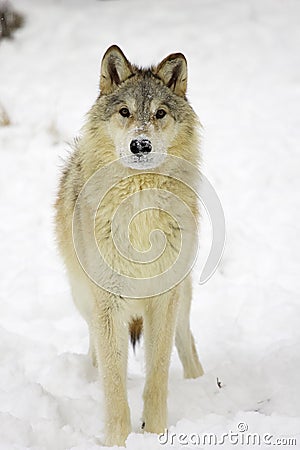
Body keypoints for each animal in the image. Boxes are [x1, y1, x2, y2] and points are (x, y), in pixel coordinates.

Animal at [54, 44, 204, 446]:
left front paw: (155, 432)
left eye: (160, 114)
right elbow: (115, 383)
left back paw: (200, 383)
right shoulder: (109, 303)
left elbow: (157, 374)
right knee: (96, 349)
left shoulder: (163, 300)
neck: (139, 214)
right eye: (125, 112)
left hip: (181, 297)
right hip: (84, 299)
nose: (140, 144)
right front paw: (117, 441)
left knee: (187, 341)